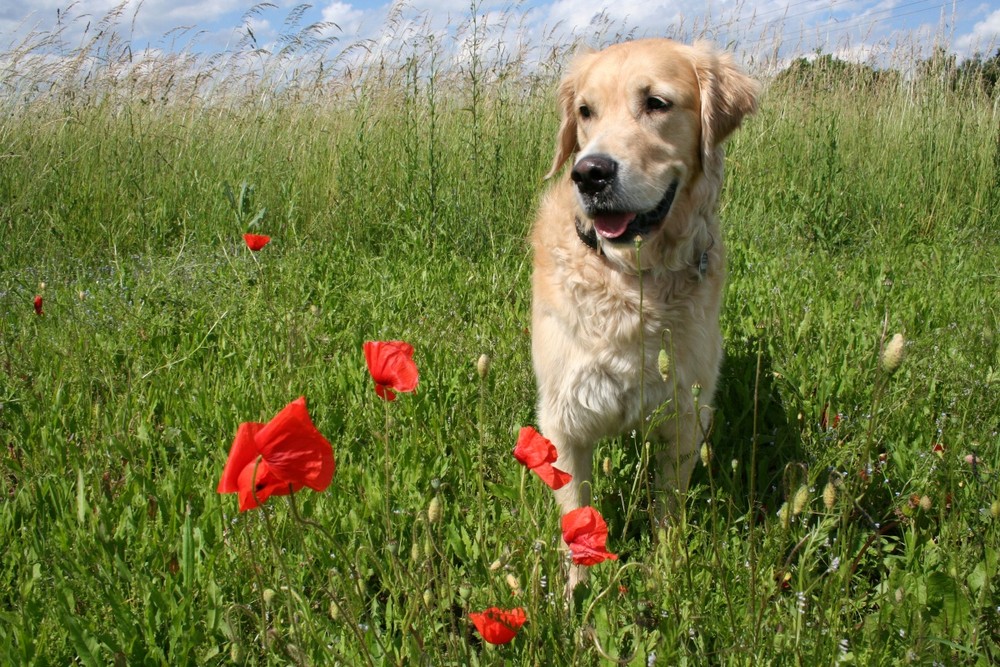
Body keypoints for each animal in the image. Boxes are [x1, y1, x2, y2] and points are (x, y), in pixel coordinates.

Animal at [532, 39, 756, 576]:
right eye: (585, 111)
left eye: (656, 103)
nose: (589, 174)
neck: (631, 280)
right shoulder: (564, 423)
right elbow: (578, 519)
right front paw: (577, 590)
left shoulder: (685, 418)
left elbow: (667, 512)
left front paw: (668, 574)